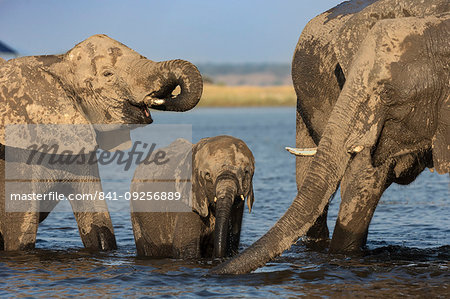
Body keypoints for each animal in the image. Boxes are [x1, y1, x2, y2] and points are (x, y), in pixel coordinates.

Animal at [0, 34, 203, 252]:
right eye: (108, 74)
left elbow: (98, 221)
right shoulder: (17, 150)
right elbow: (19, 232)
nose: (162, 97)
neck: (58, 63)